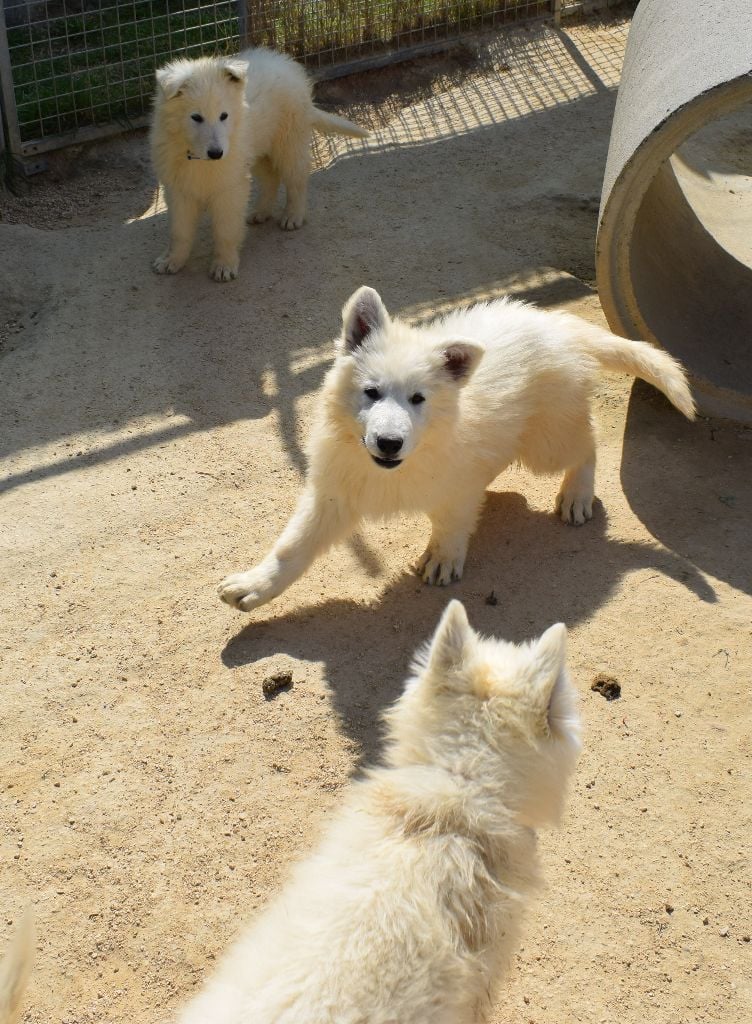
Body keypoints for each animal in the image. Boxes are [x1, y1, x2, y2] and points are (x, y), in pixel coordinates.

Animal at [149, 47, 368, 280]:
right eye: (196, 117)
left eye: (224, 116)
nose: (217, 153)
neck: (199, 158)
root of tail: (284, 62)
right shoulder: (178, 190)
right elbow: (179, 232)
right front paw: (172, 260)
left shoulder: (230, 189)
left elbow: (226, 230)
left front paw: (224, 265)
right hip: (257, 150)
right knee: (271, 179)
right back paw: (261, 212)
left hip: (289, 143)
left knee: (296, 181)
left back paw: (293, 216)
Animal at [218, 284, 696, 610]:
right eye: (371, 392)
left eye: (418, 399)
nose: (388, 443)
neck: (400, 465)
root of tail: (558, 326)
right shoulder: (335, 494)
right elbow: (292, 547)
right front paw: (255, 586)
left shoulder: (455, 488)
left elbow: (451, 525)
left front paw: (443, 559)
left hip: (546, 444)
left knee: (587, 442)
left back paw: (577, 495)